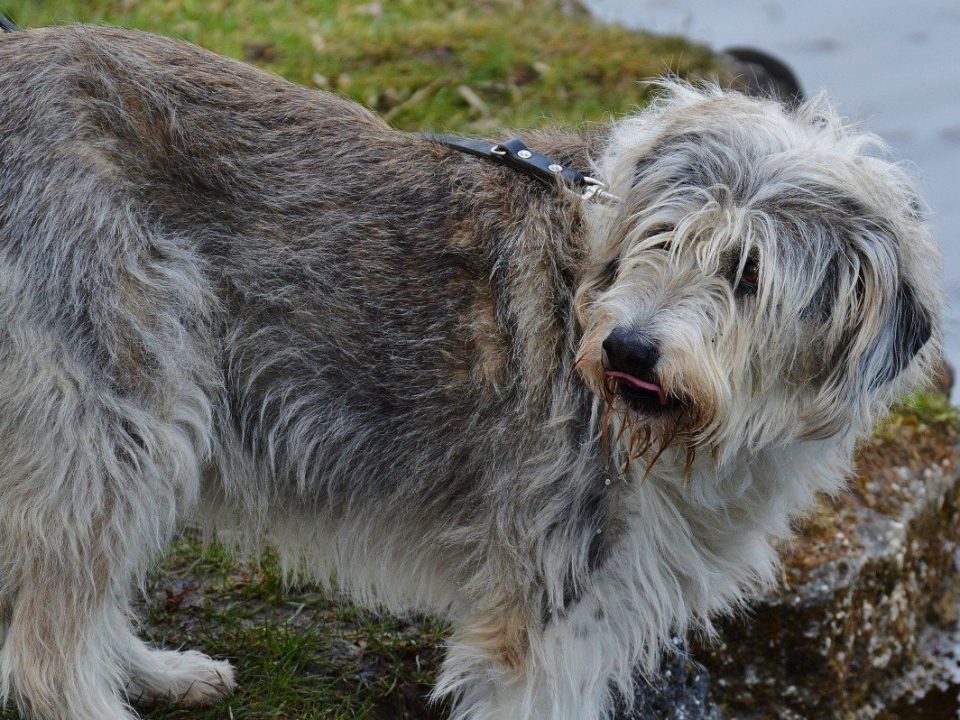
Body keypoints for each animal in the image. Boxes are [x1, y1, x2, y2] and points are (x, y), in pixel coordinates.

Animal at [0, 23, 944, 720]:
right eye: (658, 239)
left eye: (747, 274)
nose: (628, 351)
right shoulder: (546, 610)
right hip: (120, 413)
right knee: (47, 654)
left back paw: (155, 670)